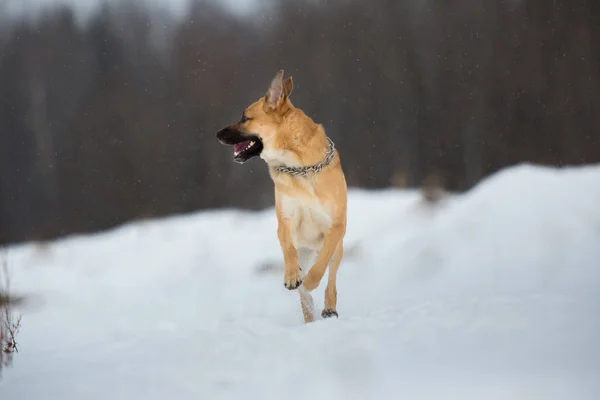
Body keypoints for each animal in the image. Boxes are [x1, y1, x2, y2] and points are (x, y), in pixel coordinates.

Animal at [216, 70, 346, 324]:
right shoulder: (286, 220)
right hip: (305, 250)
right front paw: (292, 276)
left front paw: (311, 280)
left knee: (332, 279)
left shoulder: (335, 226)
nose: (218, 134)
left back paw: (328, 308)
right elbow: (288, 249)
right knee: (305, 297)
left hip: (339, 247)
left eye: (245, 118)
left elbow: (323, 265)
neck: (299, 166)